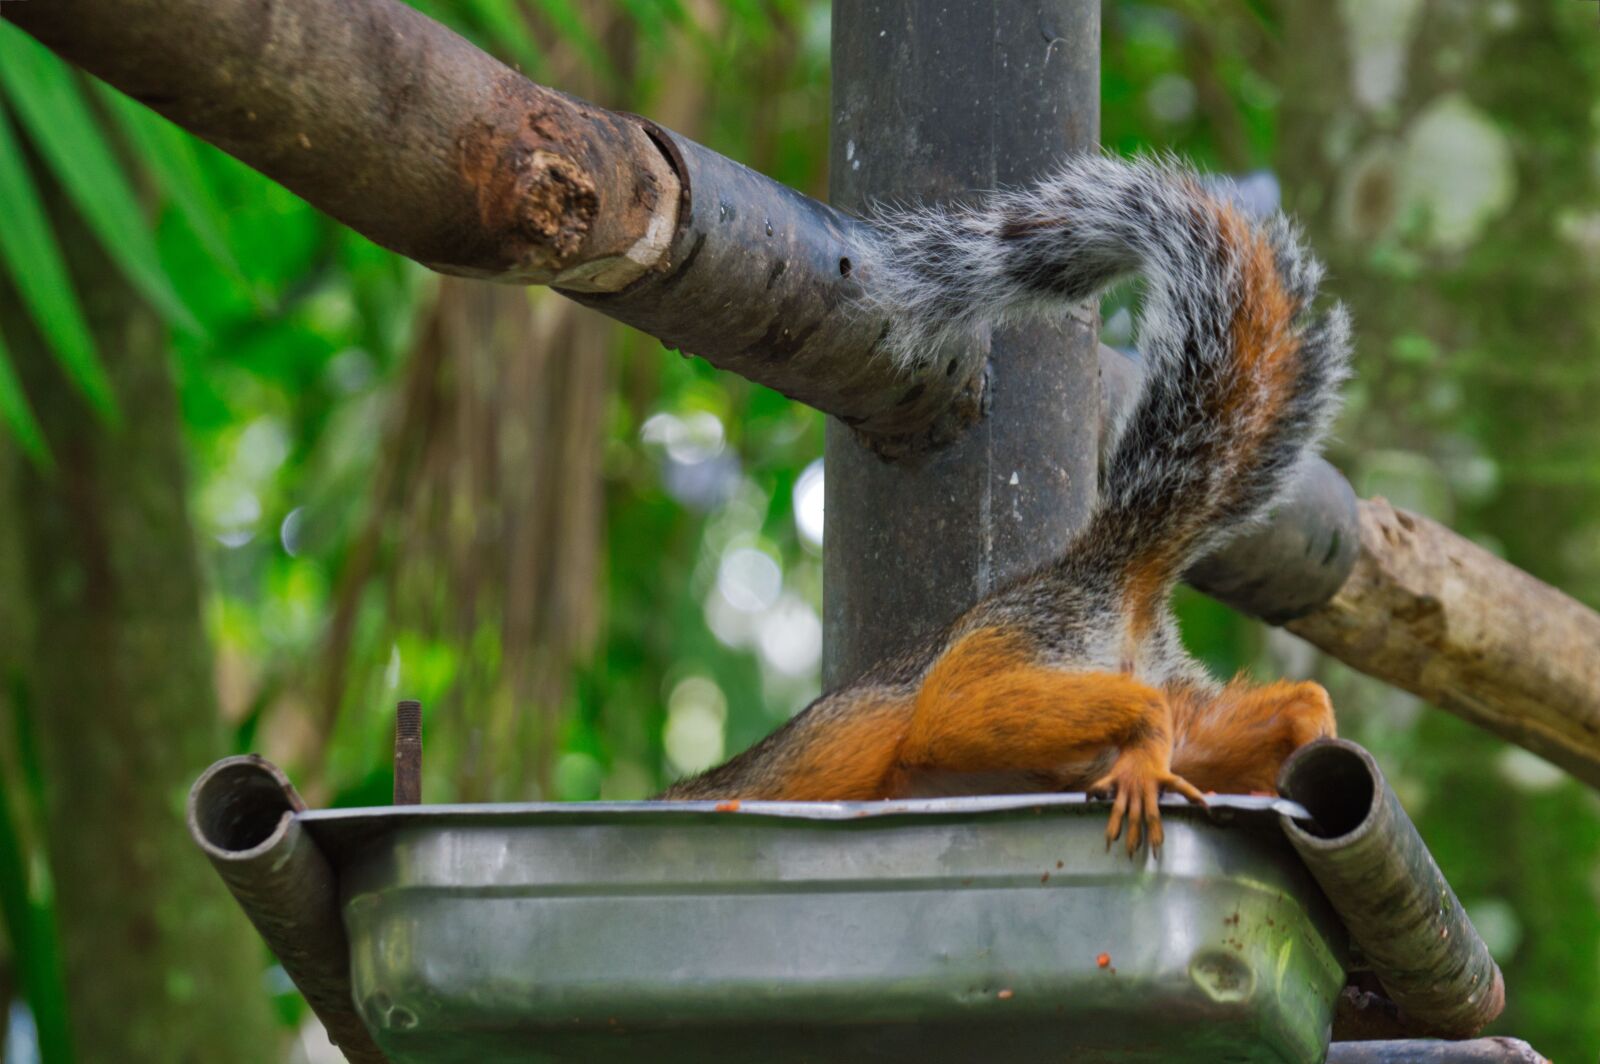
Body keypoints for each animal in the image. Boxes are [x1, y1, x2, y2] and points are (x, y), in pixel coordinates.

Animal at [662, 155, 1353, 854]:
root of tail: (1101, 580)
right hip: (1170, 710)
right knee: (1259, 709)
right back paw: (1307, 722)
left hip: (999, 667)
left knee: (1008, 711)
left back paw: (1146, 752)